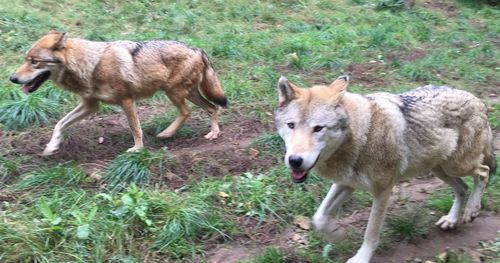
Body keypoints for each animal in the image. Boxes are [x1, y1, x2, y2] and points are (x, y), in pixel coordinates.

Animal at [9, 30, 227, 156]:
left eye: (34, 62)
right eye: (26, 59)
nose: (12, 78)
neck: (91, 65)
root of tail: (198, 49)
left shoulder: (127, 101)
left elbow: (135, 129)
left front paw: (137, 149)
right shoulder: (90, 105)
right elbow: (60, 123)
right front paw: (51, 147)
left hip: (173, 92)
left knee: (189, 111)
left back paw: (167, 133)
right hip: (186, 93)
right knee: (212, 107)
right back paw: (213, 133)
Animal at [278, 75, 496, 262]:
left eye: (318, 128)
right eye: (291, 125)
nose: (295, 160)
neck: (362, 135)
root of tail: (477, 100)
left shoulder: (383, 190)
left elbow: (371, 233)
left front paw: (360, 259)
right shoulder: (346, 183)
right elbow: (319, 218)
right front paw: (336, 235)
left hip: (457, 166)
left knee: (483, 172)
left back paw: (471, 211)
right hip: (440, 170)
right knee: (462, 188)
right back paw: (451, 220)